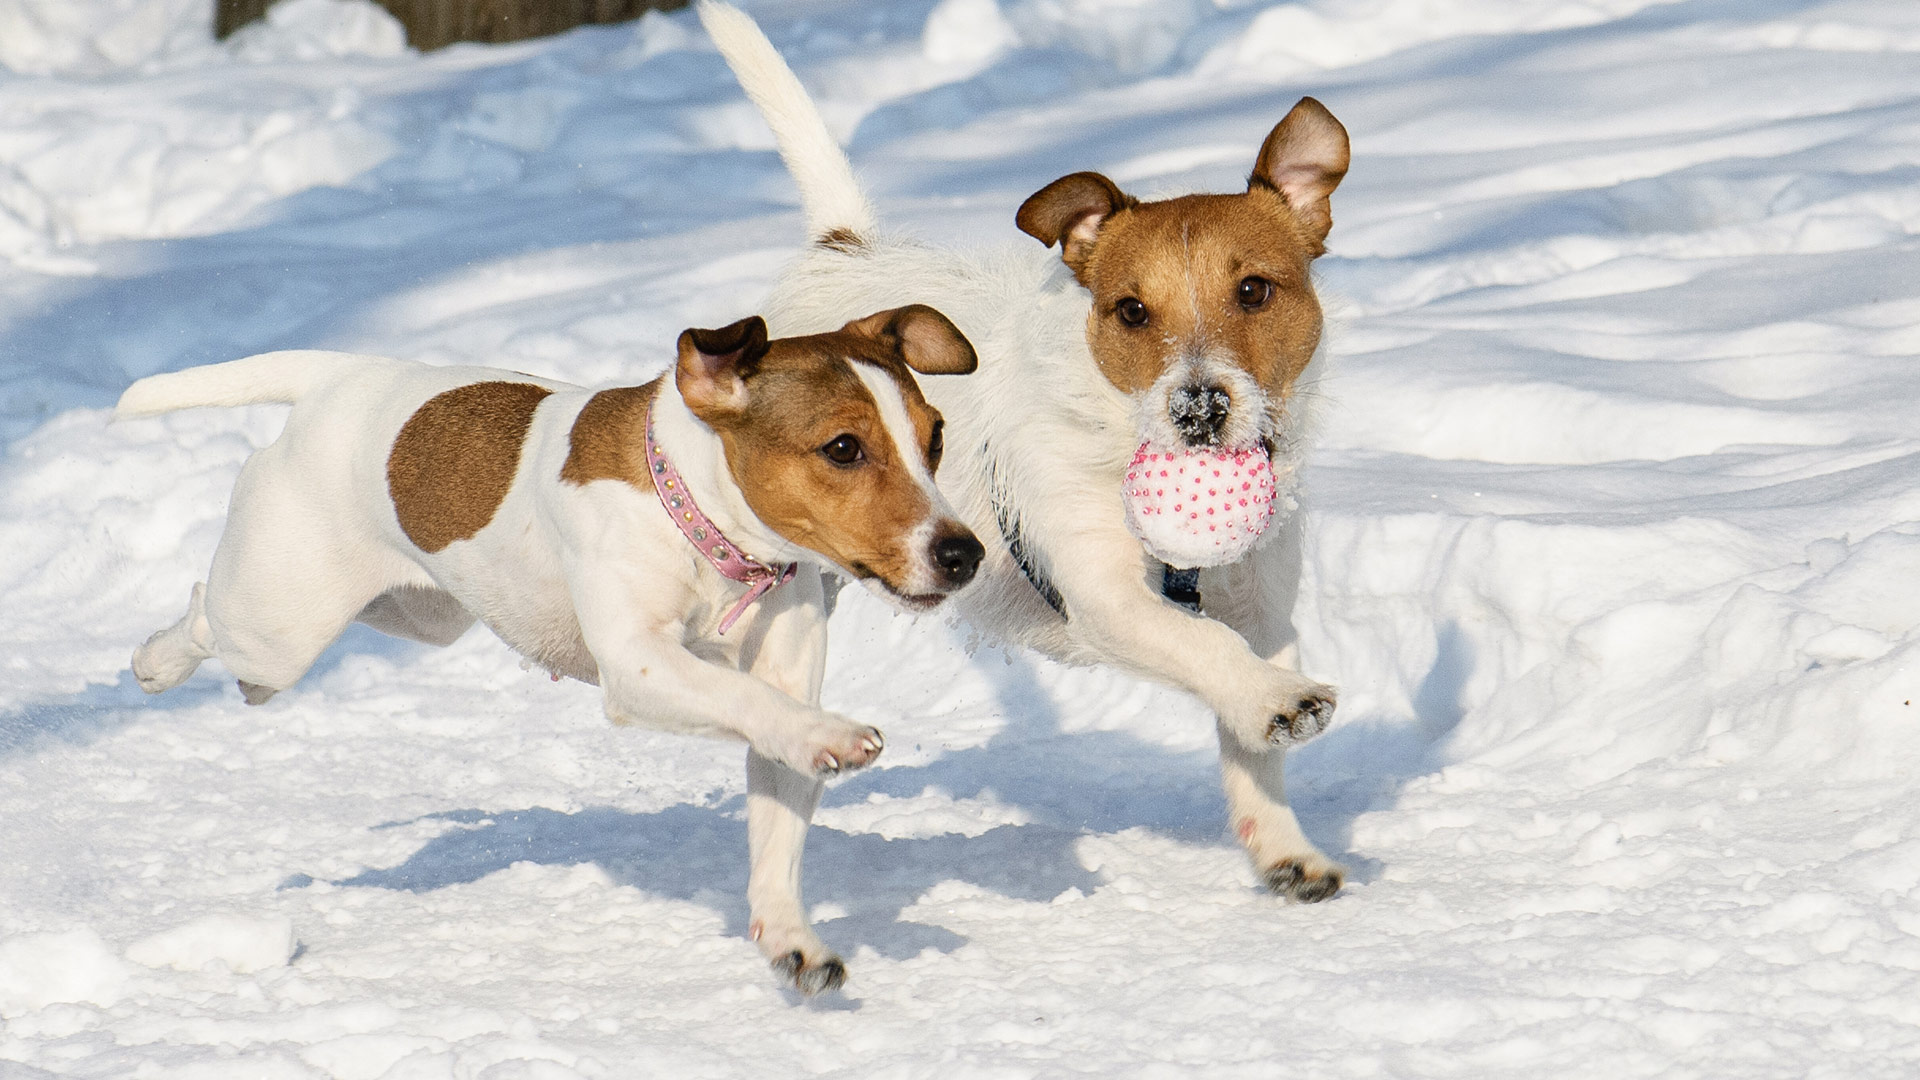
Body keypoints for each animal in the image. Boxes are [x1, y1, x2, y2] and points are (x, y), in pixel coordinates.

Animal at [116, 307, 990, 991]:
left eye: (937, 438)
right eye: (843, 448)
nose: (964, 554)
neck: (699, 521)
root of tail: (345, 376)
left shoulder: (780, 670)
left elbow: (776, 813)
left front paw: (791, 939)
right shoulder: (639, 668)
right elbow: (748, 699)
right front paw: (830, 734)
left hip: (421, 614)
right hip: (277, 623)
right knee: (210, 618)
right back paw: (157, 661)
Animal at [702, 4, 1351, 899]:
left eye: (1254, 290)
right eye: (1130, 310)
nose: (1198, 408)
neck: (1117, 429)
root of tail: (842, 250)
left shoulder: (1263, 607)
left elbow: (1248, 732)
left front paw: (1283, 844)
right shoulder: (1108, 597)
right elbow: (1204, 644)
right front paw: (1277, 702)